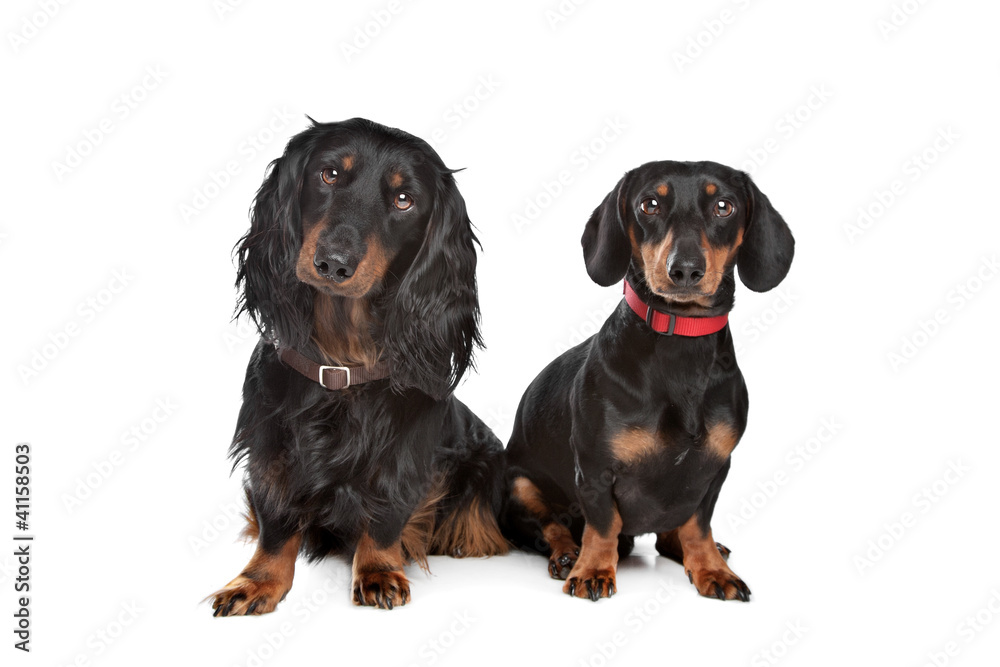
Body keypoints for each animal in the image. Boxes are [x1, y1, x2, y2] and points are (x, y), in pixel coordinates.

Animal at [504, 160, 792, 600]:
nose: (685, 269)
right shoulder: (594, 468)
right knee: (551, 526)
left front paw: (711, 568)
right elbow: (603, 524)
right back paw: (568, 554)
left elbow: (697, 526)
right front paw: (593, 570)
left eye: (724, 206)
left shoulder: (714, 469)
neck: (681, 342)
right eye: (649, 204)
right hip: (519, 485)